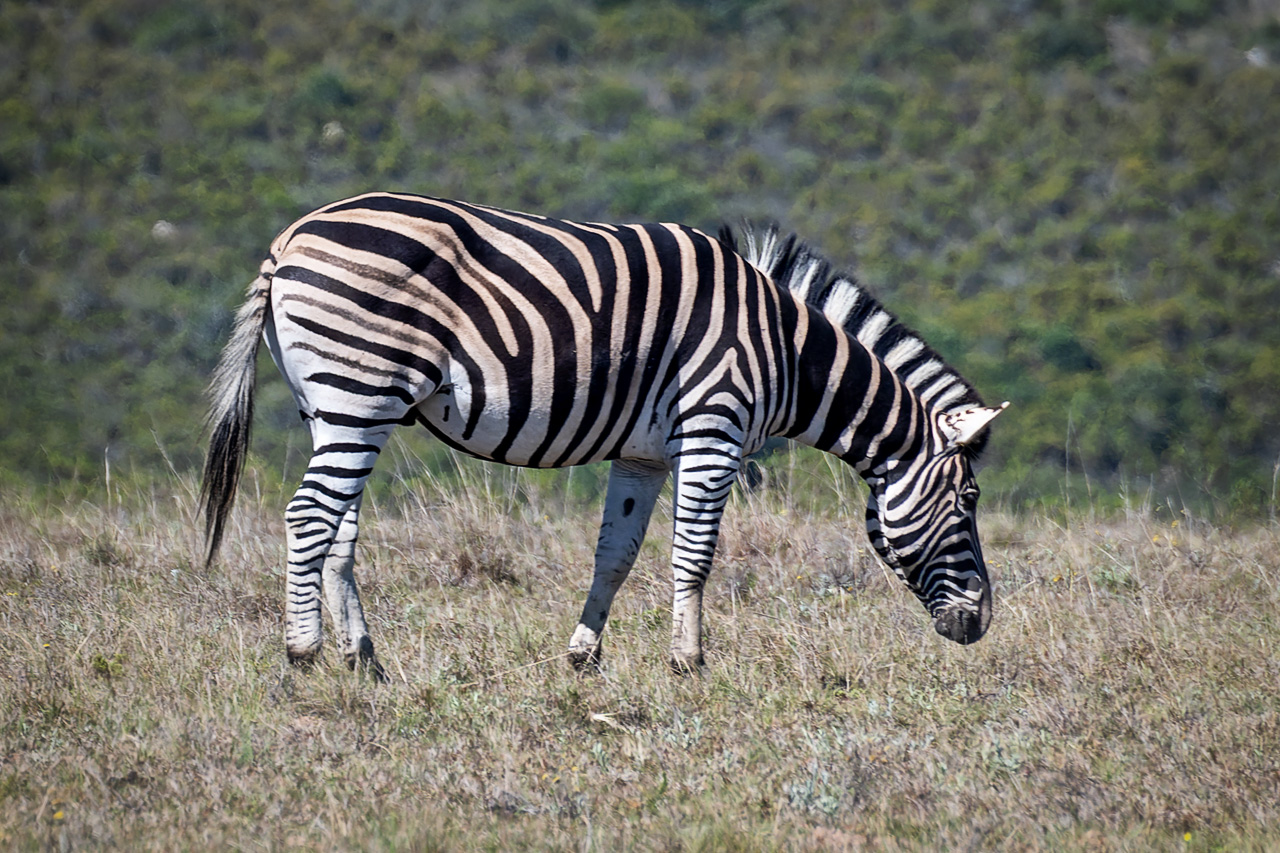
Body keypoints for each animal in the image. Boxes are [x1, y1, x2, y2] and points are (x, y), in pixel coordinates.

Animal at [200, 192, 1007, 678]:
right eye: (968, 500)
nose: (983, 621)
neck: (780, 346)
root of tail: (290, 238)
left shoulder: (642, 453)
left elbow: (615, 556)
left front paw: (583, 656)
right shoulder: (713, 427)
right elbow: (695, 555)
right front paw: (689, 663)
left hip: (334, 406)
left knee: (338, 528)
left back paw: (363, 658)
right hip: (359, 389)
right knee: (308, 515)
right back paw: (303, 651)